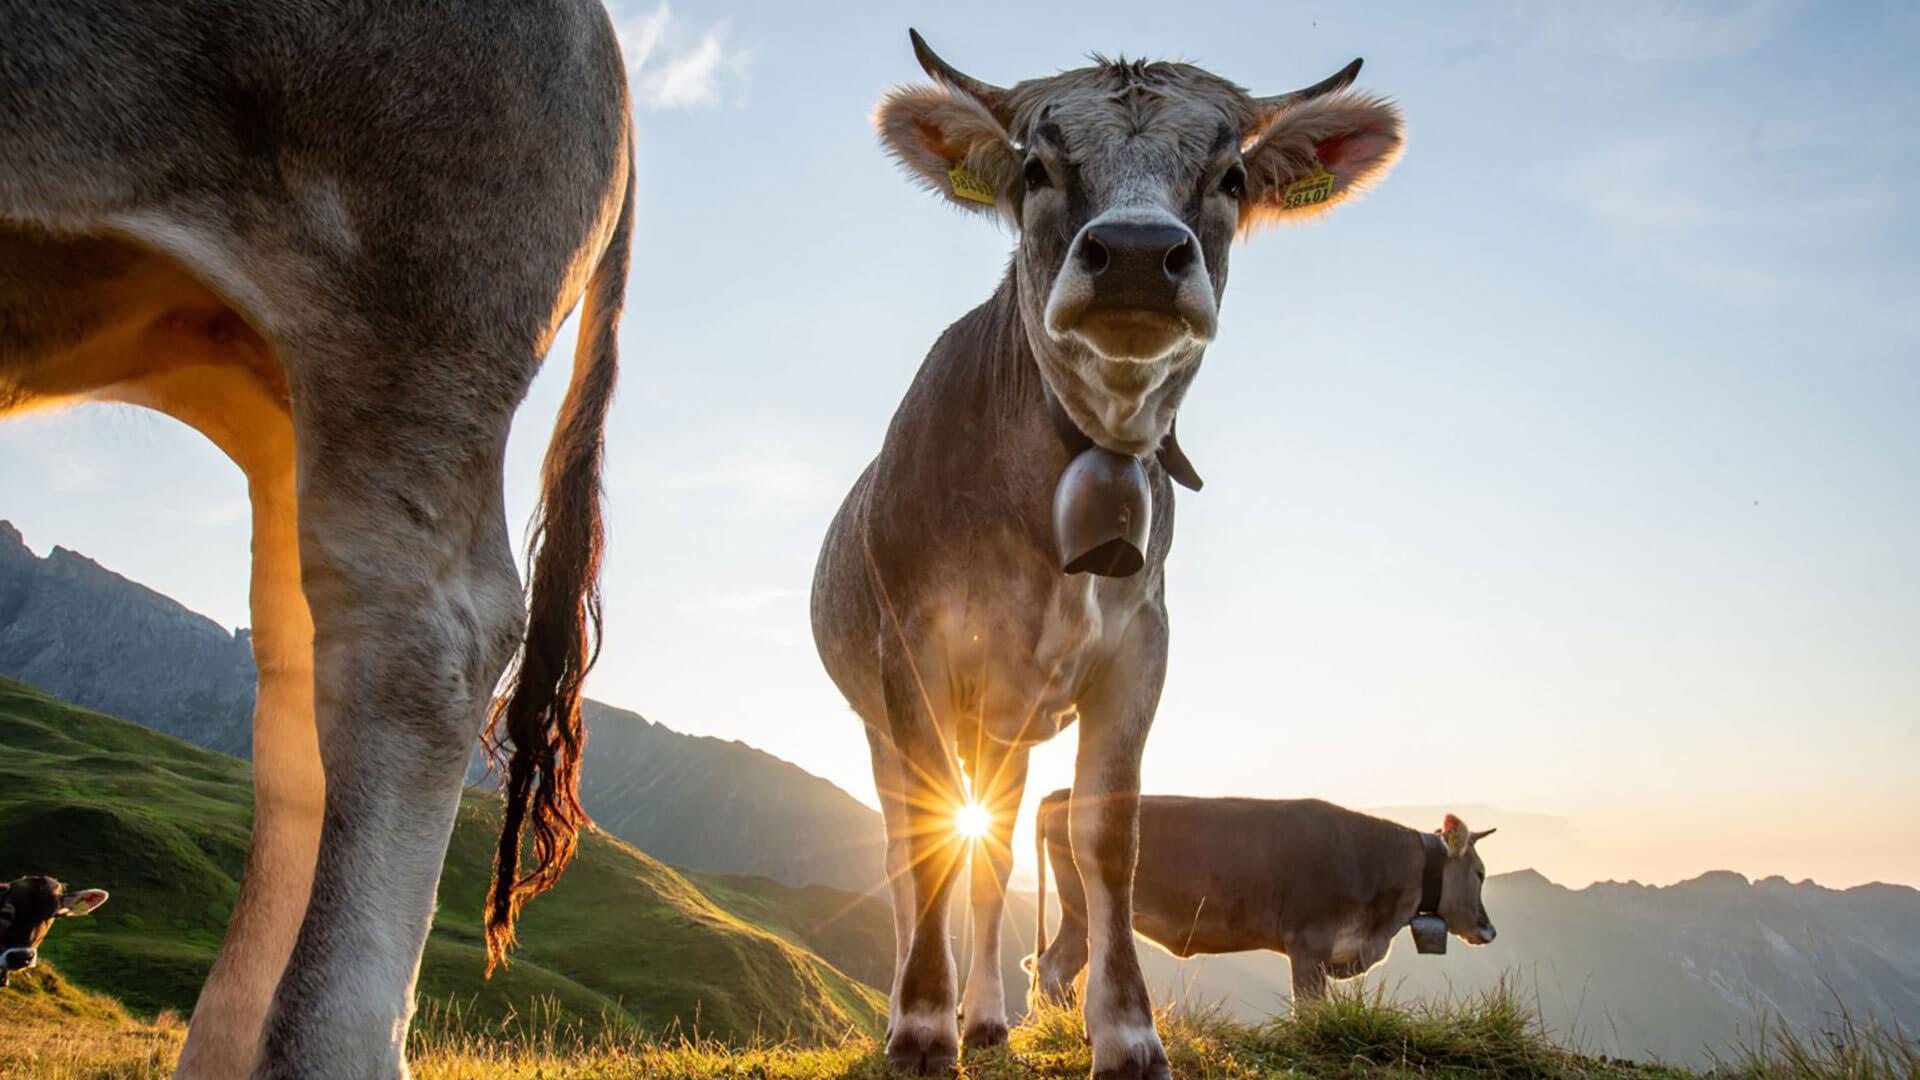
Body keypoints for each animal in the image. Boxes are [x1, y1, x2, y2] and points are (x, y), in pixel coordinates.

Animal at [806, 29, 1397, 1068]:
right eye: (1037, 169)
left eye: (1231, 176)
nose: (1134, 255)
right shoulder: (913, 648)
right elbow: (926, 849)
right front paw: (920, 1024)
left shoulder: (1140, 649)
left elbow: (1107, 838)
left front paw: (1126, 1034)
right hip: (890, 712)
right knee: (908, 847)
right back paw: (922, 1011)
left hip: (1006, 725)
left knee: (994, 848)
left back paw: (989, 1018)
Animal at [1036, 787, 1497, 999]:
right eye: (1480, 873)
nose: (1488, 929)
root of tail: (1062, 794)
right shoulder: (1308, 942)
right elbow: (1309, 1010)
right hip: (1082, 910)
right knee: (1053, 967)